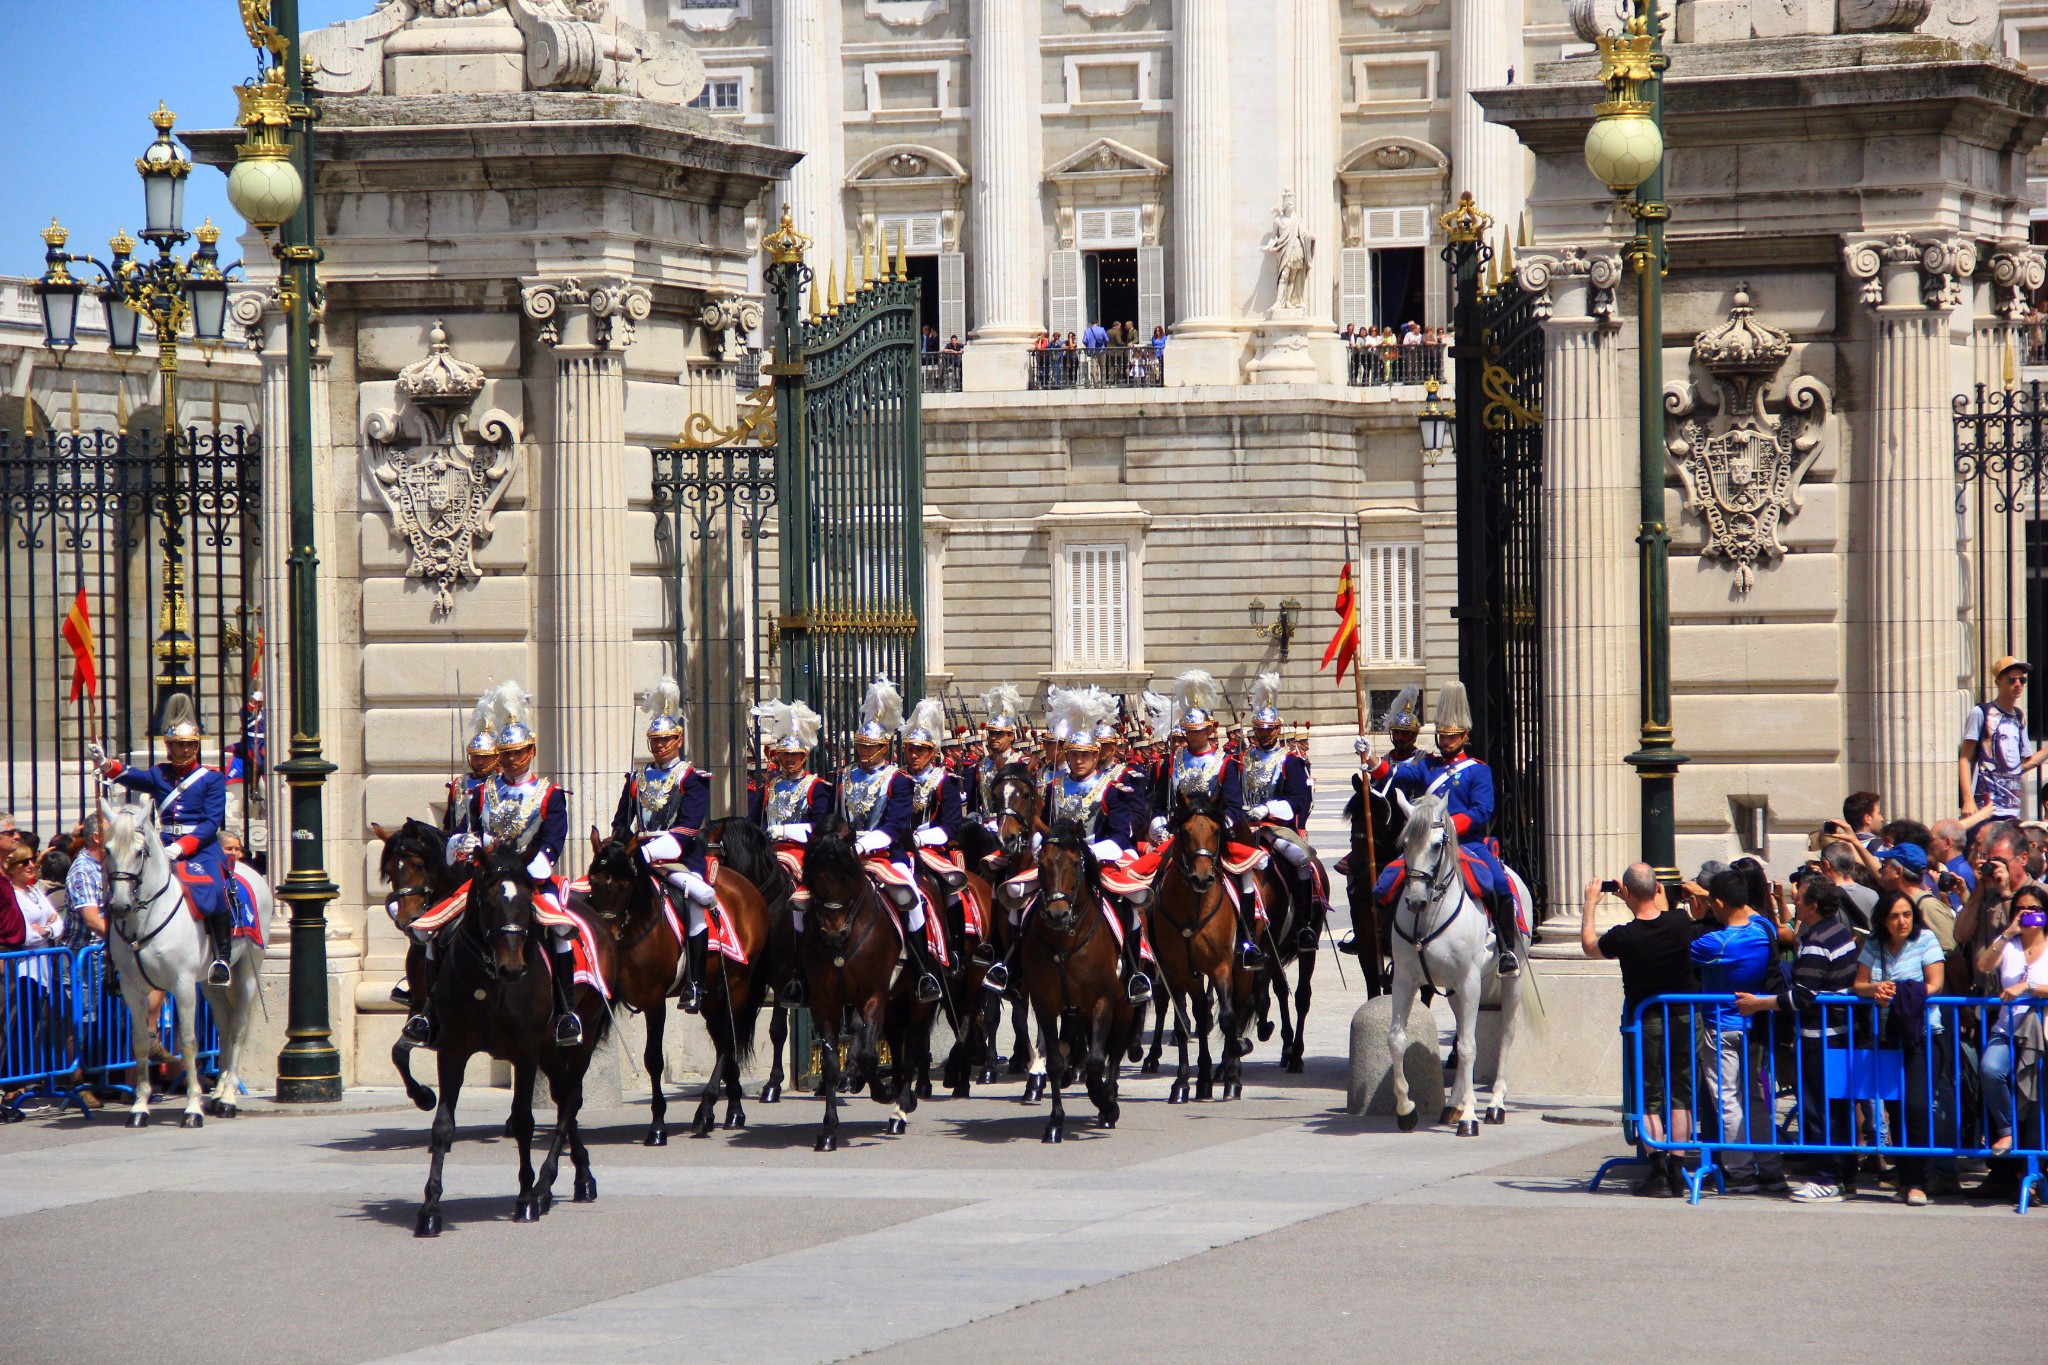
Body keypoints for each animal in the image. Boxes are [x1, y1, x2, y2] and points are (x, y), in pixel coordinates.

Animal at [101, 806, 268, 1129]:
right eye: (107, 849)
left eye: (140, 852)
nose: (118, 907)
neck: (146, 919)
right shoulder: (131, 988)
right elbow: (140, 1043)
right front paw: (139, 1107)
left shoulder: (182, 985)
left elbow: (189, 1043)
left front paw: (192, 1109)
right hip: (210, 982)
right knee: (225, 1027)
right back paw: (218, 1092)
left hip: (246, 973)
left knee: (239, 1029)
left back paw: (228, 1099)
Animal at [794, 834, 937, 1154]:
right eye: (815, 878)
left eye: (849, 876)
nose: (833, 933)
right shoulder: (824, 1004)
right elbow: (831, 1065)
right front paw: (829, 1130)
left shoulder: (874, 997)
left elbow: (871, 1054)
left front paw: (884, 1092)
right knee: (896, 1039)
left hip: (915, 999)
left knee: (911, 1044)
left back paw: (899, 1109)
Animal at [1019, 822, 1138, 1146]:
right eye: (1041, 864)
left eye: (1075, 863)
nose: (1058, 914)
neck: (1065, 940)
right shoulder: (1045, 1003)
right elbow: (1055, 1062)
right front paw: (1055, 1123)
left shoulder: (1103, 1001)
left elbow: (1097, 1061)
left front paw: (1107, 1105)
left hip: (1124, 1007)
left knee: (1115, 1052)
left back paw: (1109, 1101)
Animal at [1155, 794, 1245, 1105]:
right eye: (1184, 832)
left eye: (1216, 831)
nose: (1202, 878)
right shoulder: (1175, 971)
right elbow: (1183, 1024)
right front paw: (1182, 1083)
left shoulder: (1221, 966)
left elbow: (1228, 1018)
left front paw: (1232, 1077)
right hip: (1192, 976)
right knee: (1201, 1014)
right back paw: (1203, 1078)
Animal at [1384, 794, 1531, 1137]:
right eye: (1404, 843)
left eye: (1437, 844)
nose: (1415, 900)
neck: (1427, 918)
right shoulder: (1405, 980)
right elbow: (1397, 1039)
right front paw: (1406, 1109)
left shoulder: (1469, 981)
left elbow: (1467, 1048)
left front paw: (1470, 1118)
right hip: (1453, 992)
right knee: (1464, 1030)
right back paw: (1454, 1104)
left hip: (1511, 982)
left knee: (1504, 1035)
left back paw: (1494, 1105)